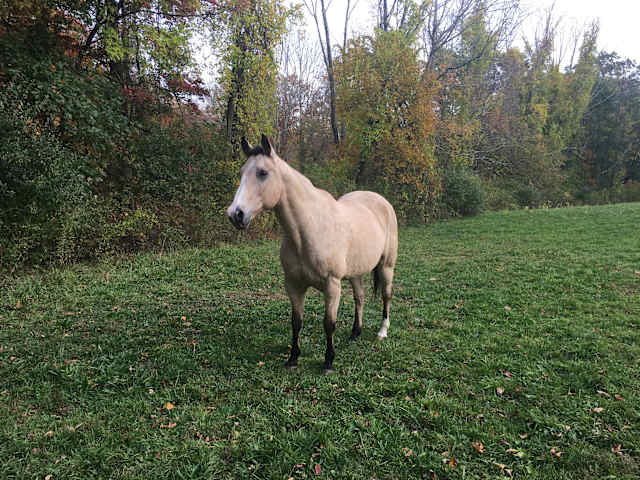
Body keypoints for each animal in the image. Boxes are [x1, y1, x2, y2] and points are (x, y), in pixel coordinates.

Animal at [227, 134, 398, 374]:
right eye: (242, 172)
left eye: (262, 172)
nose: (236, 214)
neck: (308, 228)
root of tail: (382, 201)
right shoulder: (293, 284)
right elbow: (296, 322)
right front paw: (293, 358)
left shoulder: (332, 285)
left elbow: (329, 323)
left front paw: (328, 362)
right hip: (355, 272)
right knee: (360, 297)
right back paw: (356, 333)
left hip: (386, 266)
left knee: (386, 295)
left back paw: (382, 331)